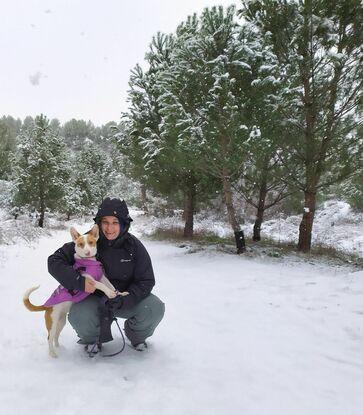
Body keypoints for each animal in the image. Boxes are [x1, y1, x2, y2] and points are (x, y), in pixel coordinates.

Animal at [23, 226, 128, 360]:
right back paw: (52, 353)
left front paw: (119, 293)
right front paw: (110, 294)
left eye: (91, 242)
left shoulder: (102, 277)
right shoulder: (90, 281)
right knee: (49, 337)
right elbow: (101, 286)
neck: (88, 262)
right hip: (52, 323)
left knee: (56, 335)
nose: (87, 252)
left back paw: (59, 347)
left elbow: (110, 285)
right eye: (80, 244)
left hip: (61, 322)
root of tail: (46, 306)